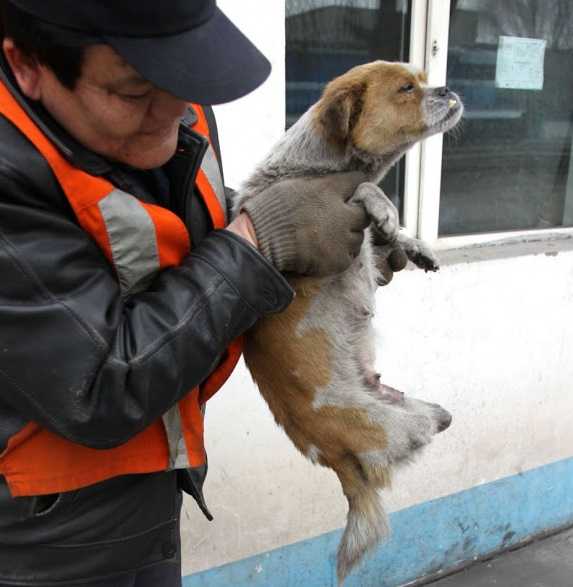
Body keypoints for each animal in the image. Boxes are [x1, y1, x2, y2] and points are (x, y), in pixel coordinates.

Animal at [232, 60, 460, 584]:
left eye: (423, 79)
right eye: (406, 88)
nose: (448, 89)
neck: (323, 164)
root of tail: (340, 467)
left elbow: (388, 239)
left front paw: (411, 244)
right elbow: (364, 191)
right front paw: (383, 207)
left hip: (421, 409)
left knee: (440, 418)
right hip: (396, 426)